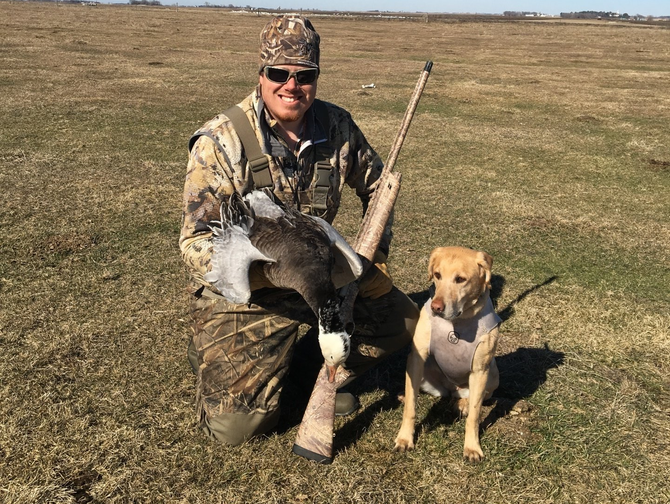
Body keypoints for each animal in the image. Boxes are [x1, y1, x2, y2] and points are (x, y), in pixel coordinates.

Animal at [394, 246, 504, 462]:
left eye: (460, 279)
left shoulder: (480, 370)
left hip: (493, 373)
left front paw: (472, 447)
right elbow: (411, 406)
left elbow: (475, 416)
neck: (457, 321)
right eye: (437, 275)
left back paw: (463, 403)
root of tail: (451, 388)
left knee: (478, 398)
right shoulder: (416, 359)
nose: (436, 307)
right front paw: (405, 438)